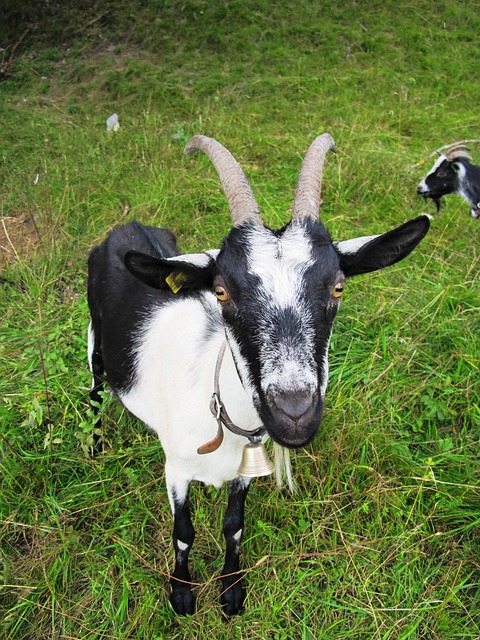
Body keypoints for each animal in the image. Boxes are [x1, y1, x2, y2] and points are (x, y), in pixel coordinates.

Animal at [87, 134, 430, 616]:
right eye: (221, 291)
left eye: (338, 286)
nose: (294, 414)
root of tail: (125, 227)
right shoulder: (176, 467)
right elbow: (183, 531)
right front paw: (181, 593)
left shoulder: (246, 468)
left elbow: (233, 524)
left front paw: (231, 590)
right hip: (95, 342)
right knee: (95, 391)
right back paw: (95, 444)